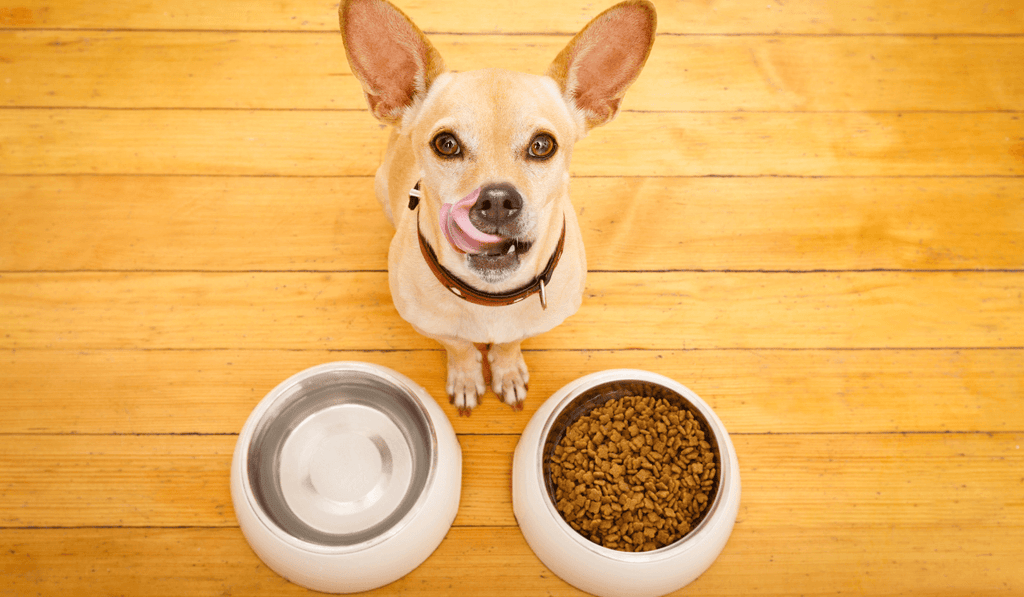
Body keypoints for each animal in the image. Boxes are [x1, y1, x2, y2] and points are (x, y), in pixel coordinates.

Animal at [335, 0, 655, 415]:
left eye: (542, 145)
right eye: (446, 144)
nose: (498, 200)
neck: (491, 299)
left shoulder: (528, 326)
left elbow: (509, 343)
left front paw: (507, 370)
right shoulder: (430, 326)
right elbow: (458, 345)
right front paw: (467, 376)